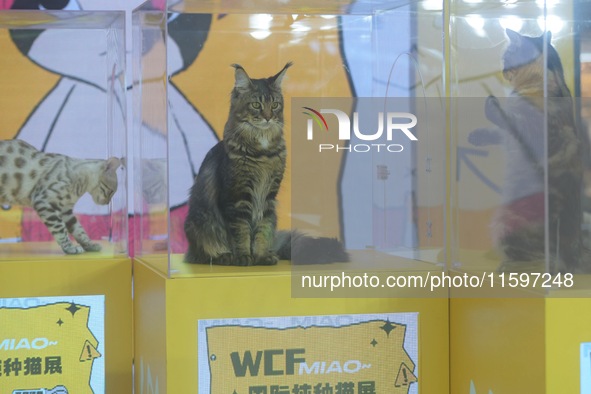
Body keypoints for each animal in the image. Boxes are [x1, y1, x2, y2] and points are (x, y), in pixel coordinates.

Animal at [185, 64, 350, 266]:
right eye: (256, 105)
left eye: (275, 105)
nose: (268, 117)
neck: (263, 152)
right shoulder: (237, 196)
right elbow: (240, 232)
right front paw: (243, 256)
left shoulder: (269, 196)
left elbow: (262, 231)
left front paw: (261, 256)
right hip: (199, 224)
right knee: (203, 254)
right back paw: (223, 256)